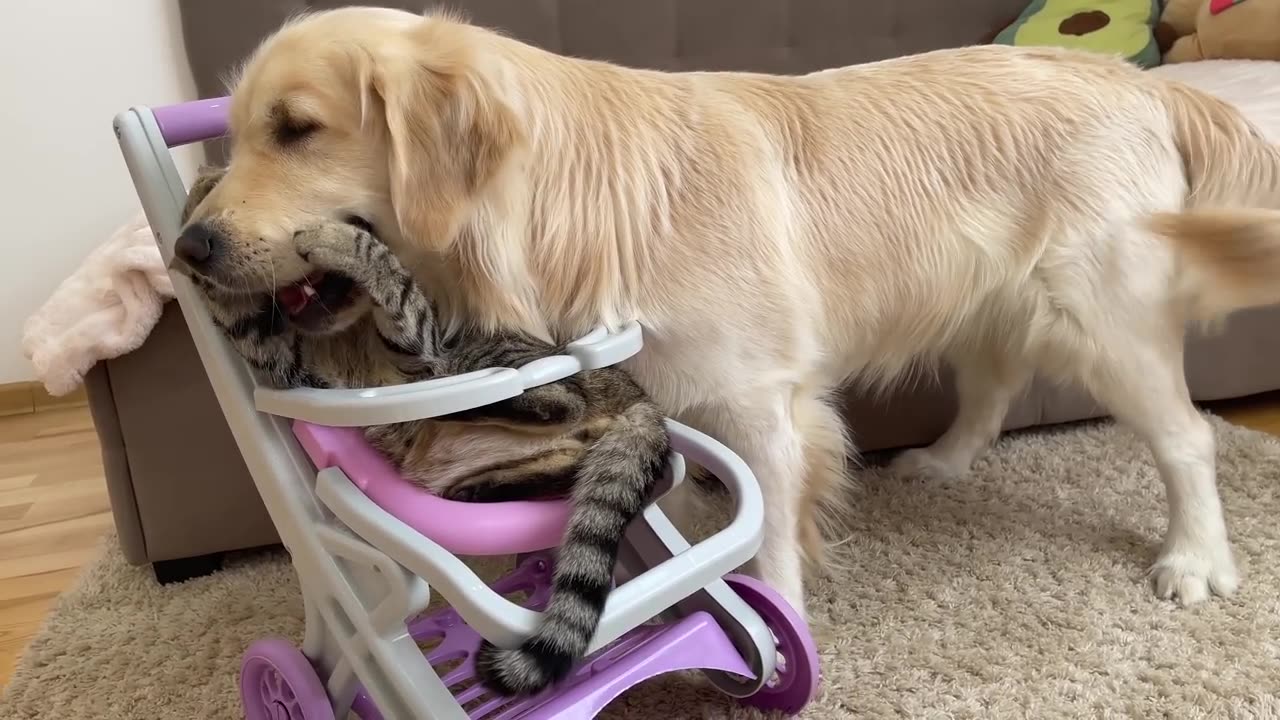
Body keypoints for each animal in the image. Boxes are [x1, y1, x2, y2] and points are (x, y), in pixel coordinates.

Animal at [180, 5, 1280, 614]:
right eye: (237, 130)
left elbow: (766, 534)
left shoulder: (762, 405)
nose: (189, 250)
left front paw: (774, 616)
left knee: (1186, 438)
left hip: (1105, 321)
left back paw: (1194, 560)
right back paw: (943, 462)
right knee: (994, 383)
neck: (572, 206)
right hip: (994, 302)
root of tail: (1143, 85)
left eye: (297, 129)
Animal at [183, 165, 680, 691]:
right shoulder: (288, 363)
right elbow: (240, 319)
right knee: (564, 454)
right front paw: (199, 206)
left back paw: (459, 410)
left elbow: (390, 279)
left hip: (496, 359)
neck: (346, 334)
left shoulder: (415, 341)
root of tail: (640, 398)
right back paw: (479, 477)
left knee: (558, 403)